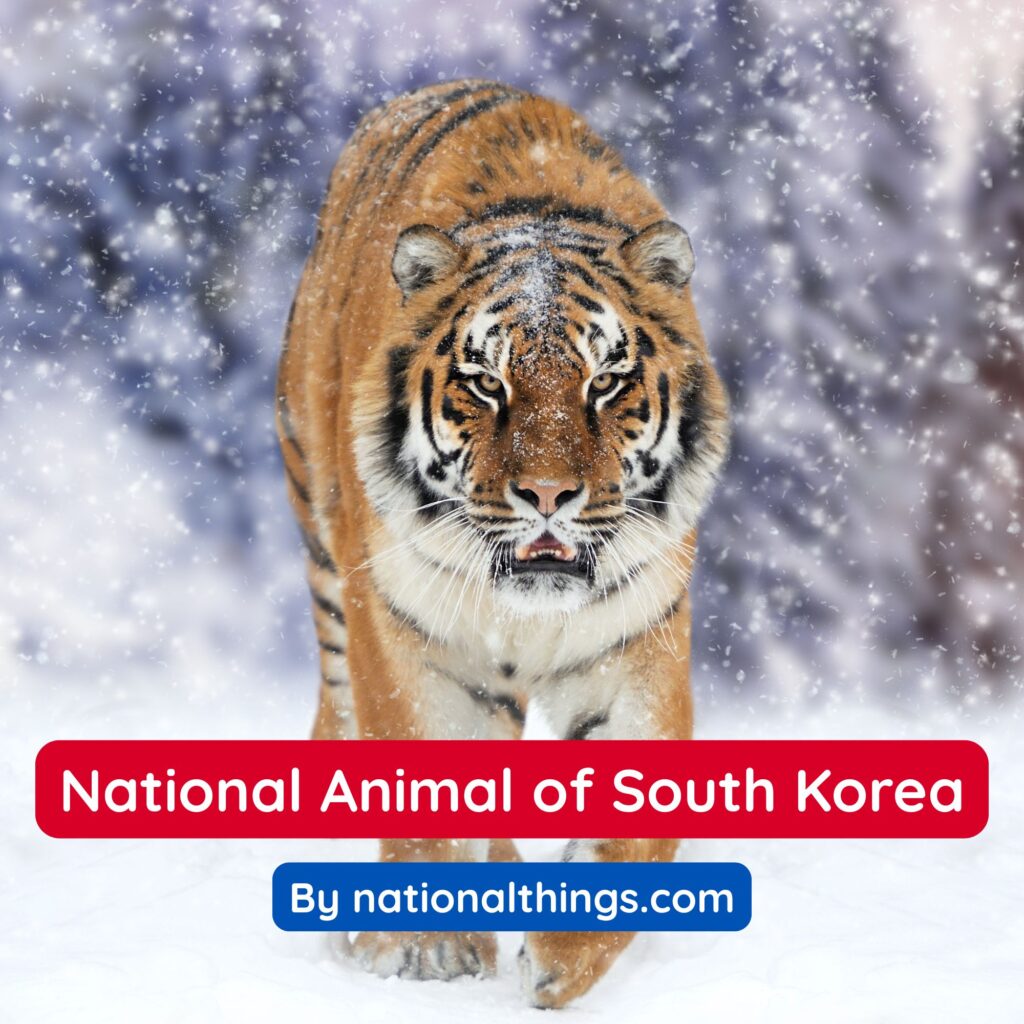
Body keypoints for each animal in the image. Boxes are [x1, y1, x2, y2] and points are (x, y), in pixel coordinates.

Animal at [275, 79, 730, 1008]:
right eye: (487, 383)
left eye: (607, 382)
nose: (548, 495)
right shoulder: (402, 633)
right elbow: (418, 785)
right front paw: (426, 951)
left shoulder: (637, 644)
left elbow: (634, 836)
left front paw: (558, 959)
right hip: (327, 563)